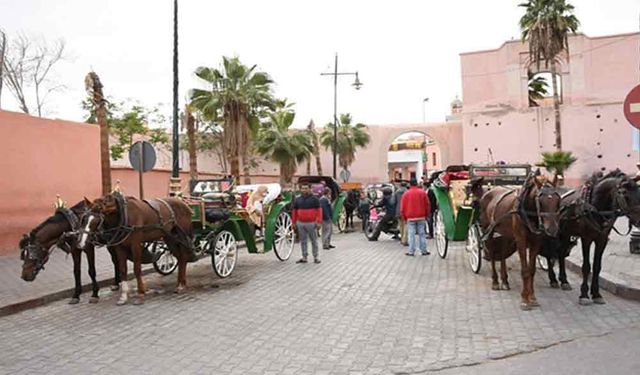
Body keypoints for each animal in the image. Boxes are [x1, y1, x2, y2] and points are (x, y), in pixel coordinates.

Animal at [476, 173, 560, 312]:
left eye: (557, 200)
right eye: (540, 202)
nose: (552, 229)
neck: (527, 212)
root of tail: (488, 191)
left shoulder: (536, 242)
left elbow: (532, 270)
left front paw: (532, 297)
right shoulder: (521, 240)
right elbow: (525, 270)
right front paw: (525, 299)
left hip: (505, 233)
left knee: (502, 253)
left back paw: (505, 281)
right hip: (488, 229)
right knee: (492, 254)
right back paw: (495, 281)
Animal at [540, 171, 640, 306]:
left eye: (639, 191)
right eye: (625, 193)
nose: (639, 221)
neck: (594, 208)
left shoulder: (602, 239)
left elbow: (597, 266)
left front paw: (597, 294)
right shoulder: (586, 239)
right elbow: (586, 266)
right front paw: (584, 295)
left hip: (565, 233)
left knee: (560, 253)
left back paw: (564, 280)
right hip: (552, 233)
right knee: (549, 254)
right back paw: (553, 279)